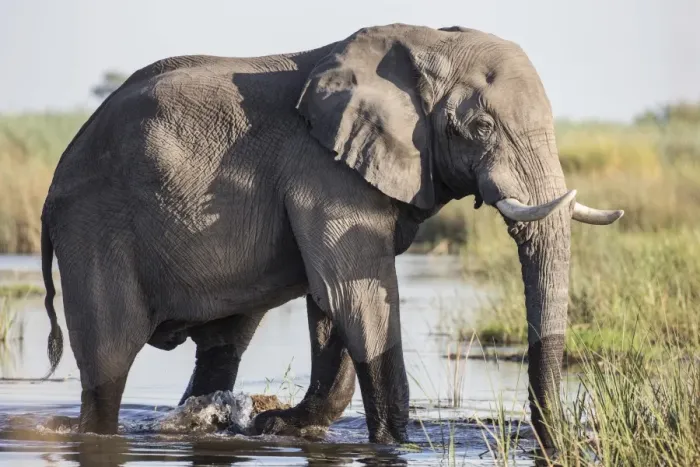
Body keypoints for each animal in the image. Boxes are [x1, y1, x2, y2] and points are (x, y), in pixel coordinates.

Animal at [39, 23, 623, 446]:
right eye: (479, 127)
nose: (549, 443)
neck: (426, 41)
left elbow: (331, 301)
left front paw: (285, 425)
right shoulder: (323, 170)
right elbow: (356, 295)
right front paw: (393, 444)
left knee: (222, 348)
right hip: (93, 227)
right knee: (109, 363)